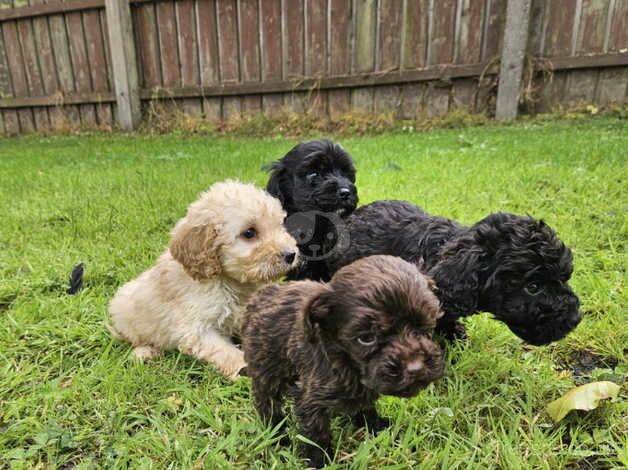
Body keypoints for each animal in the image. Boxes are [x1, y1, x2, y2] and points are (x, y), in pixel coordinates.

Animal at [240, 255, 442, 468]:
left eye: (424, 323)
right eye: (366, 338)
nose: (415, 368)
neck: (346, 362)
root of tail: (258, 297)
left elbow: (365, 406)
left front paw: (375, 426)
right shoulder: (311, 400)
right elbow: (316, 434)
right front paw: (320, 462)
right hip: (266, 370)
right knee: (267, 403)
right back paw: (277, 434)